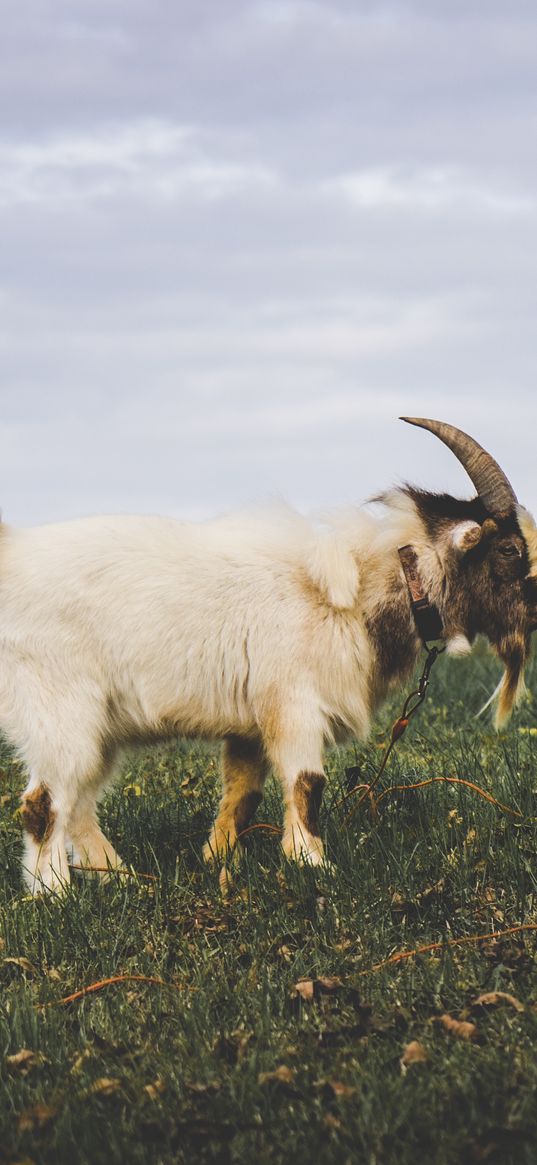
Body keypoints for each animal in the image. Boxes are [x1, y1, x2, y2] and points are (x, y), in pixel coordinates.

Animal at [1, 419, 535, 890]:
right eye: (509, 549)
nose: (534, 610)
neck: (362, 588)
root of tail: (13, 559)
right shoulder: (294, 704)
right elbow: (307, 783)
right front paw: (314, 866)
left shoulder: (251, 725)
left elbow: (243, 793)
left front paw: (217, 860)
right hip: (60, 711)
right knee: (43, 802)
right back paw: (55, 896)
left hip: (99, 729)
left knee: (79, 804)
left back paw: (121, 878)